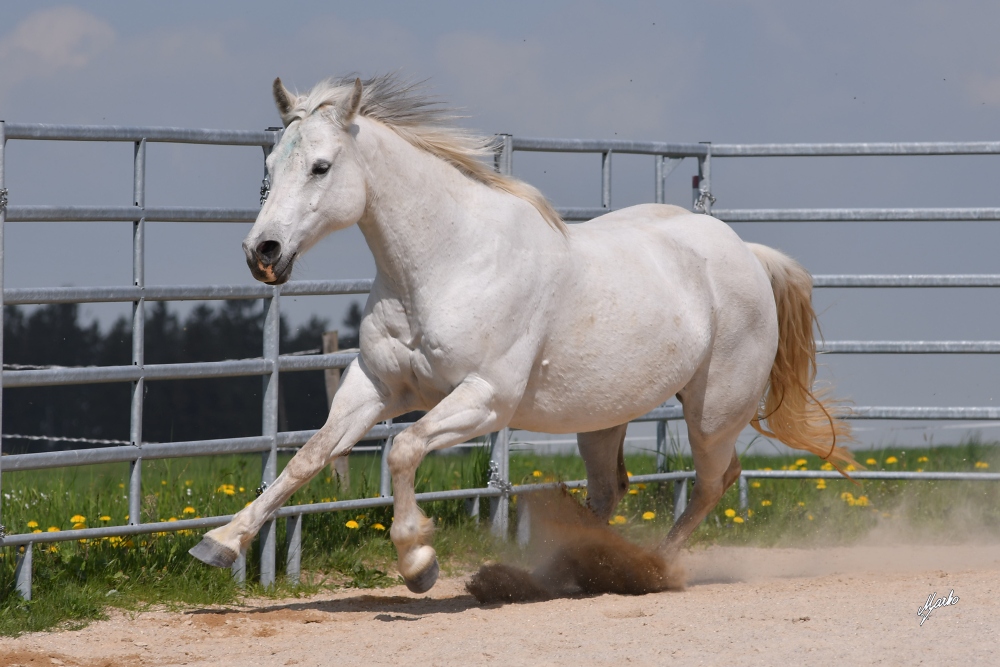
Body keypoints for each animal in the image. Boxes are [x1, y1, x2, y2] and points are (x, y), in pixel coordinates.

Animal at [191, 75, 856, 592]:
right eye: (269, 168)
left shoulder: (486, 399)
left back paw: (650, 569)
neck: (448, 263)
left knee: (715, 483)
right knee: (610, 490)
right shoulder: (374, 387)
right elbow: (308, 457)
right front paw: (220, 542)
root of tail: (746, 252)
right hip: (601, 417)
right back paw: (577, 570)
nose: (263, 252)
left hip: (712, 412)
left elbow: (404, 449)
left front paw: (418, 561)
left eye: (321, 166)